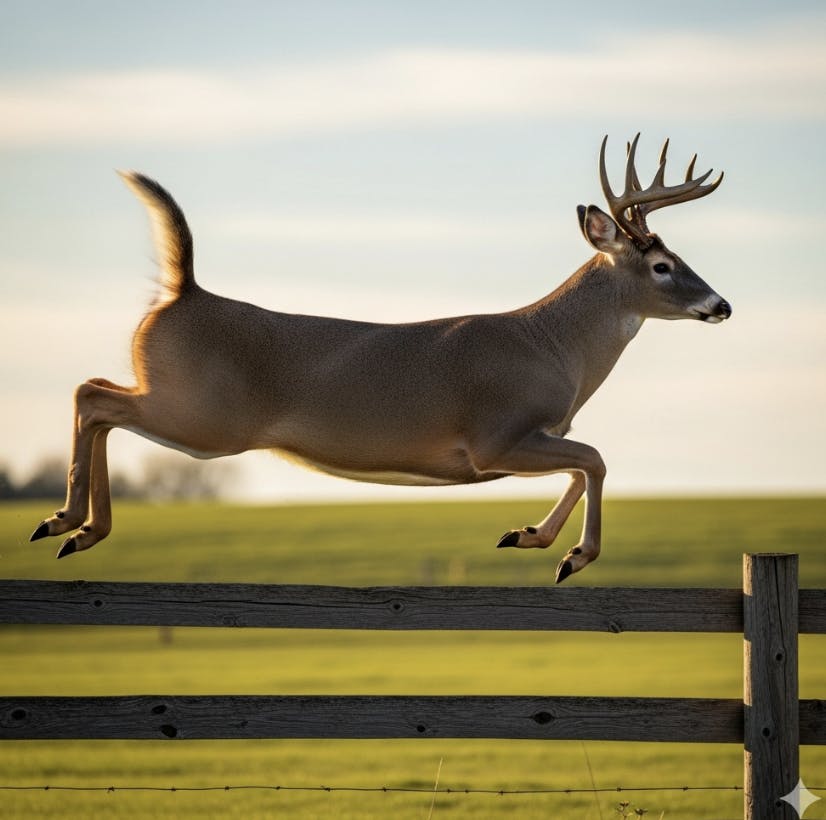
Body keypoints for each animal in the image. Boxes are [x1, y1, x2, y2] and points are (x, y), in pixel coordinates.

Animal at [30, 134, 730, 583]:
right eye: (662, 266)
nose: (721, 304)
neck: (554, 347)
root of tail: (184, 290)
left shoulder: (524, 439)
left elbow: (582, 465)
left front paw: (529, 536)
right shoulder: (494, 437)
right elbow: (596, 458)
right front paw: (571, 556)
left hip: (186, 409)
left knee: (96, 392)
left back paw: (77, 529)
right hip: (203, 417)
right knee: (93, 395)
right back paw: (66, 522)